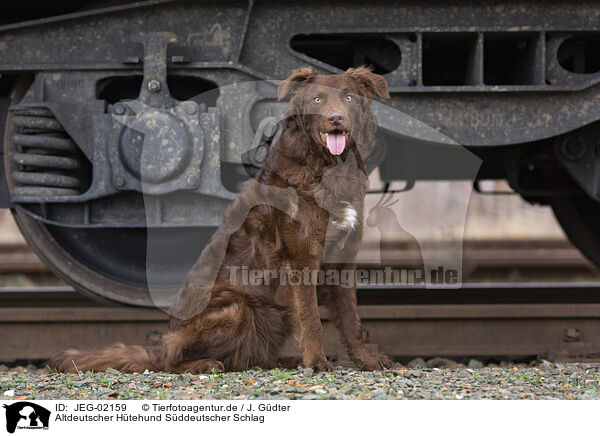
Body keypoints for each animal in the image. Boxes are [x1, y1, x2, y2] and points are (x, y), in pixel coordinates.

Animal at [49, 66, 392, 372]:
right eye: (318, 99)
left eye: (348, 97)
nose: (336, 118)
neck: (328, 167)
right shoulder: (302, 258)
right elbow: (311, 319)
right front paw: (318, 363)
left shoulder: (344, 258)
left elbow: (351, 320)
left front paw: (366, 361)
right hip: (236, 307)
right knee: (172, 358)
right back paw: (206, 364)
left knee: (251, 356)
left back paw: (283, 361)